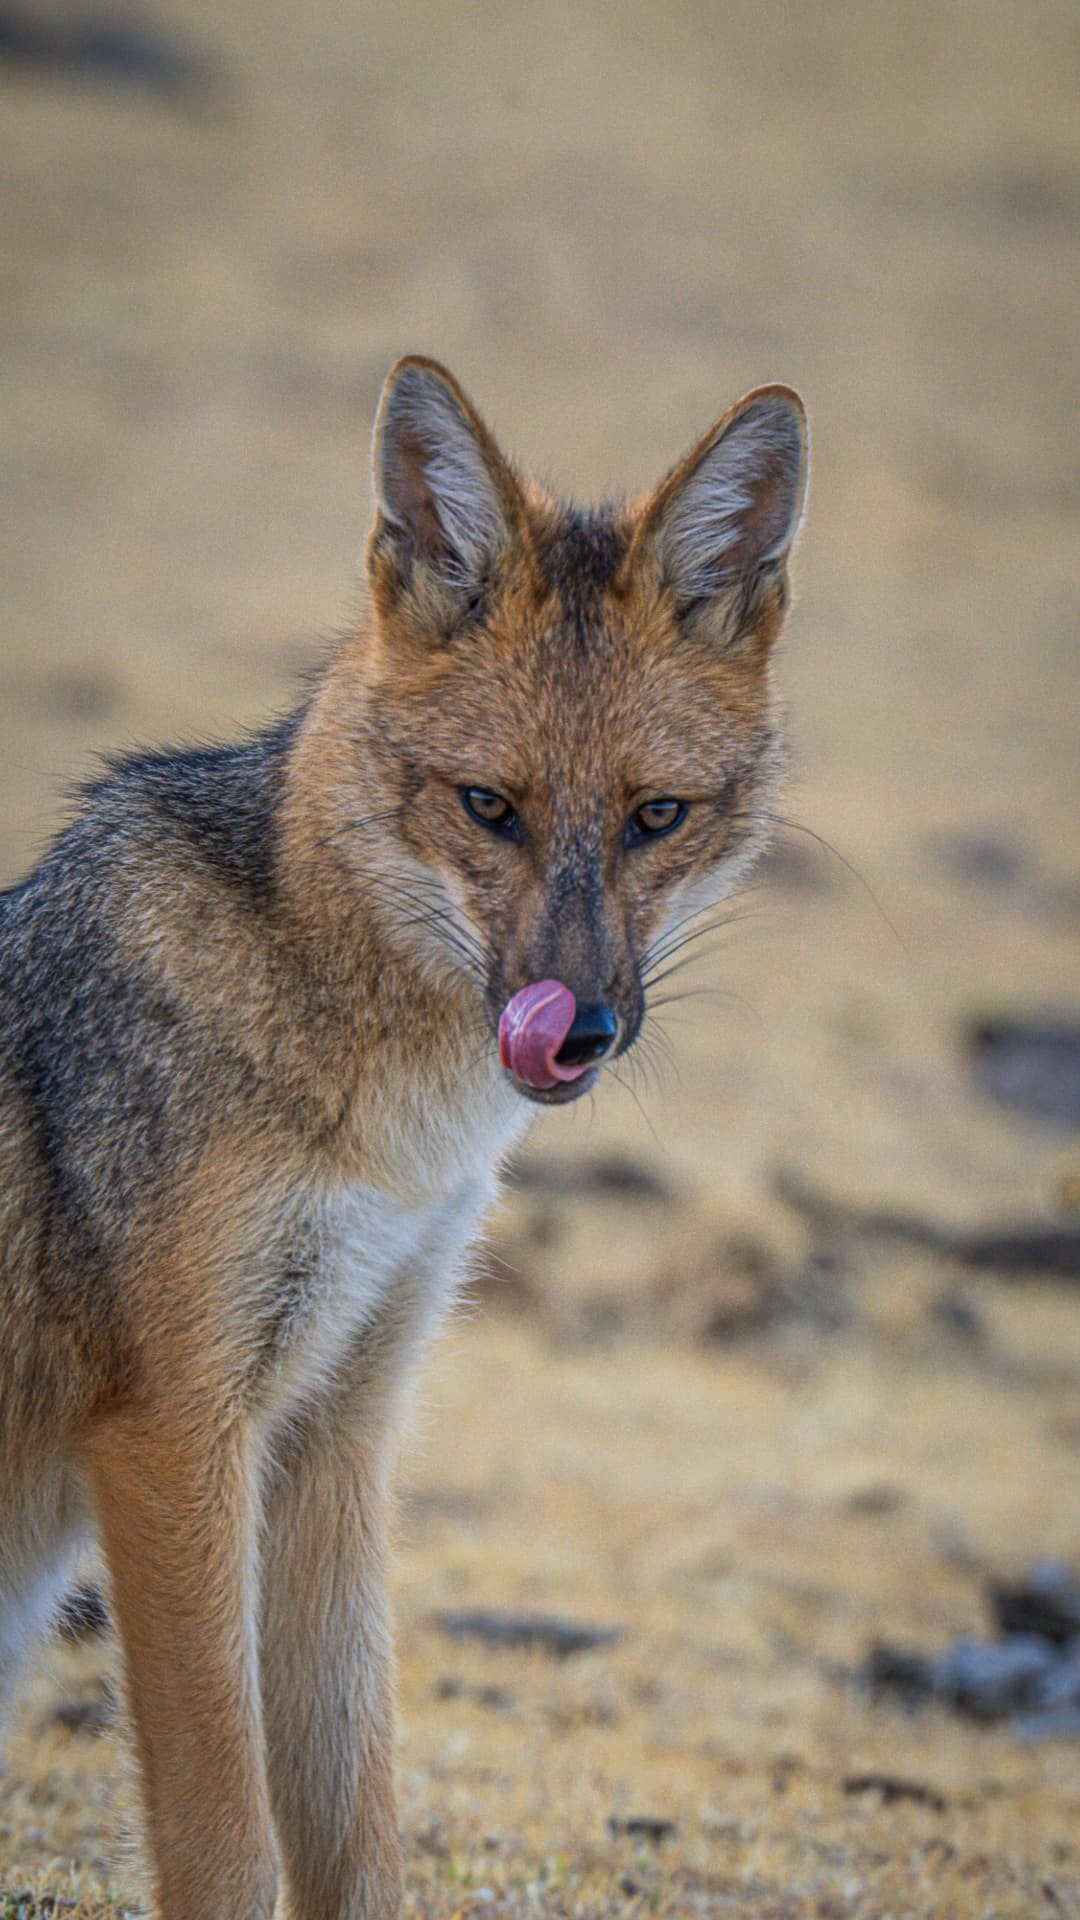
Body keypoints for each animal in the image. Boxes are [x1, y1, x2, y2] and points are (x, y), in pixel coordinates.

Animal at [0, 355, 807, 1918]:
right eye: (487, 807)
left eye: (656, 817)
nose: (579, 1030)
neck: (389, 1142)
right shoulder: (176, 1433)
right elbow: (227, 1843)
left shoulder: (336, 1431)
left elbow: (355, 1821)